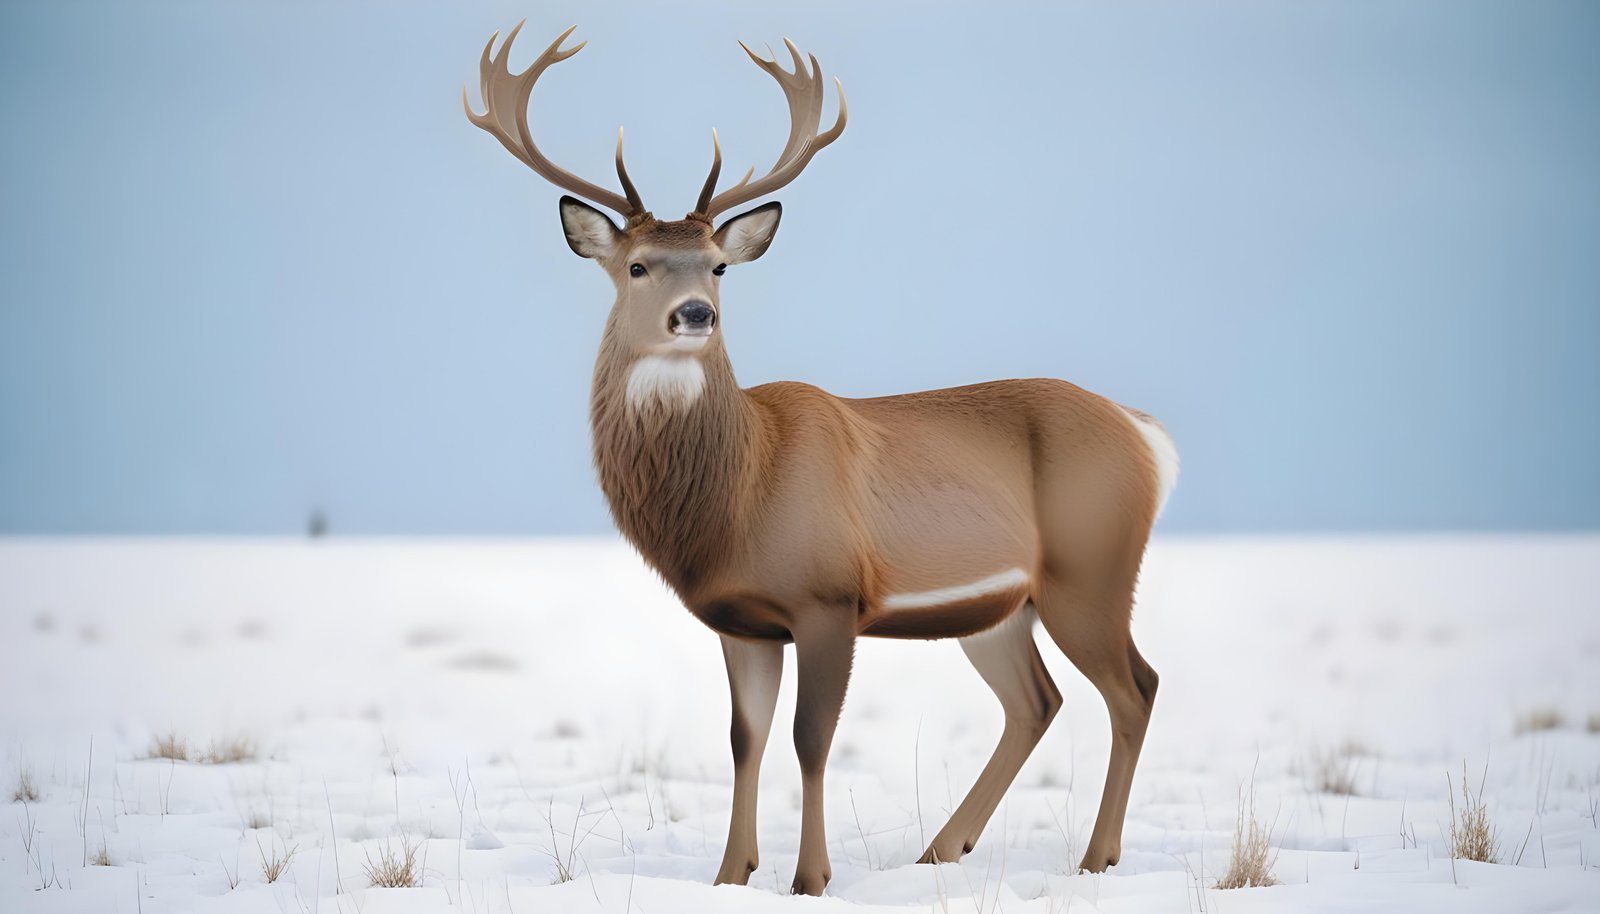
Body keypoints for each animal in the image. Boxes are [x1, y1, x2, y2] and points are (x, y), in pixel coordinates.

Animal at [465, 23, 1178, 896]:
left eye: (719, 265)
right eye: (635, 265)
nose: (694, 313)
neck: (741, 493)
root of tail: (1145, 434)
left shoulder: (829, 595)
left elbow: (812, 737)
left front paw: (810, 877)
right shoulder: (741, 620)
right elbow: (745, 737)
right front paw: (729, 874)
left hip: (1093, 569)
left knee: (1135, 688)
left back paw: (1094, 857)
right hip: (1006, 605)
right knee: (1036, 701)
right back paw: (942, 849)